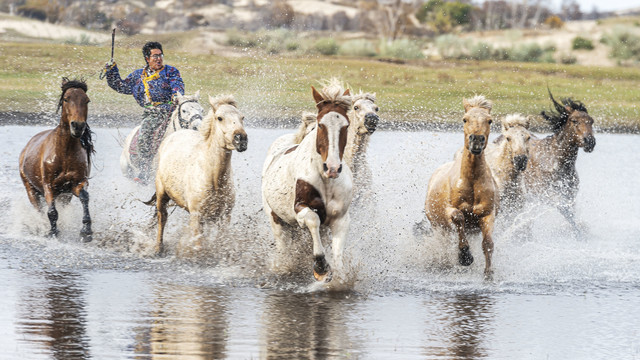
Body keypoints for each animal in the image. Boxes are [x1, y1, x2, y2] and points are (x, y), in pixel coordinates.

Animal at [18, 78, 95, 242]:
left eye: (87, 100)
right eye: (66, 99)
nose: (78, 126)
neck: (64, 153)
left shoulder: (76, 184)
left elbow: (85, 197)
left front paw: (86, 231)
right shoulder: (48, 186)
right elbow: (52, 211)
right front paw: (52, 232)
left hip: (64, 196)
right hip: (30, 189)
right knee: (39, 209)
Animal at [151, 94, 249, 255]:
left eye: (242, 117)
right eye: (219, 118)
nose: (241, 139)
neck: (213, 178)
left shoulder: (225, 215)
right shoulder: (197, 215)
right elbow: (199, 245)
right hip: (161, 194)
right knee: (162, 218)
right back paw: (158, 248)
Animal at [264, 83, 356, 282]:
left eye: (346, 125)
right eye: (321, 124)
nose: (333, 167)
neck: (326, 181)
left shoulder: (341, 218)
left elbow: (337, 255)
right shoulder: (300, 207)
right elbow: (313, 220)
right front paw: (321, 267)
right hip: (276, 220)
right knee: (283, 247)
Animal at [424, 95, 500, 276]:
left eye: (489, 120)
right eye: (465, 119)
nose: (476, 140)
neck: (471, 181)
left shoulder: (487, 214)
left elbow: (488, 244)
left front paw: (488, 273)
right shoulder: (449, 210)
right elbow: (458, 217)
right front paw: (465, 257)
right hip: (438, 226)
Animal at [524, 88, 596, 232]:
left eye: (591, 121)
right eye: (574, 120)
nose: (590, 141)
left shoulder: (570, 195)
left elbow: (570, 215)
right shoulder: (545, 195)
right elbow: (566, 212)